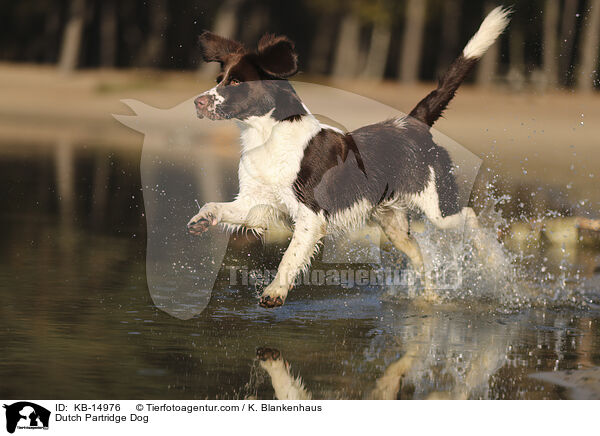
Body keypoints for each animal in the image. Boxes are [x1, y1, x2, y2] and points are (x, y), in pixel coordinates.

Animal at [189, 5, 510, 306]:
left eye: (235, 83)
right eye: (220, 78)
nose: (197, 102)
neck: (267, 135)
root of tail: (413, 124)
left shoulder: (311, 215)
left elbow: (290, 256)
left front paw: (275, 292)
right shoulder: (258, 205)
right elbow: (215, 206)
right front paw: (202, 220)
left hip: (436, 206)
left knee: (469, 217)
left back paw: (493, 262)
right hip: (393, 223)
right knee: (420, 254)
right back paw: (429, 298)